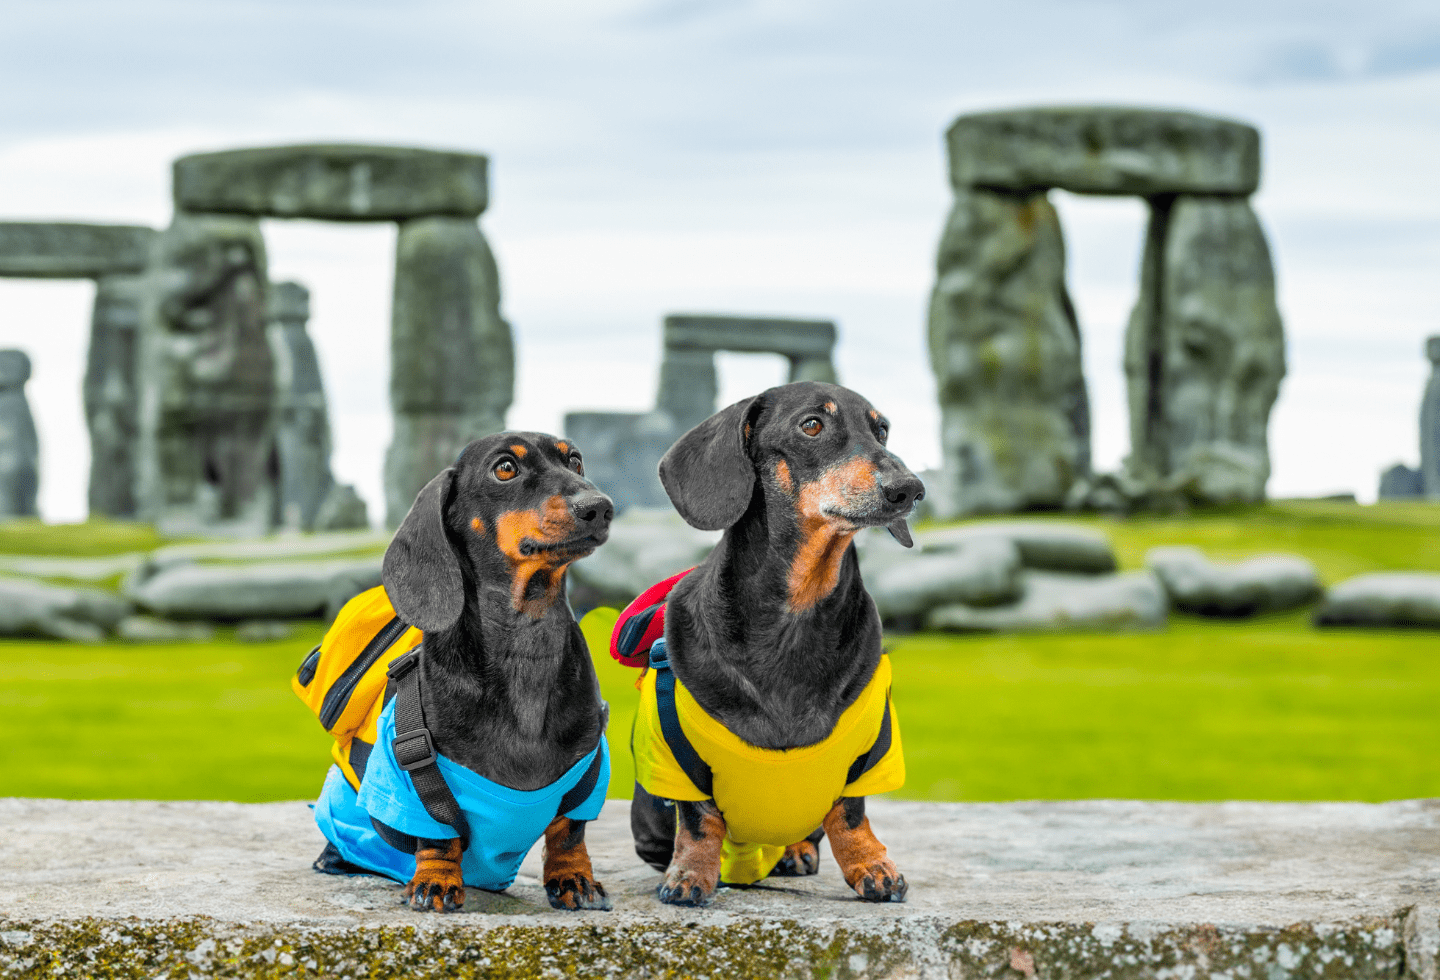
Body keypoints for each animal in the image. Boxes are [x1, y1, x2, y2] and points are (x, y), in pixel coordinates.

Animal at [318, 431, 616, 915]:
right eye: (505, 468)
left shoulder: (589, 773)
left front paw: (574, 878)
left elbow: (568, 832)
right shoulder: (405, 781)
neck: (525, 644)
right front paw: (436, 881)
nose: (600, 506)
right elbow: (439, 838)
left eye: (575, 460)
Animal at [627, 379, 921, 903]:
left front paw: (872, 866)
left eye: (881, 430)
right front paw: (690, 874)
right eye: (812, 425)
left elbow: (850, 813)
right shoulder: (677, 758)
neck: (795, 612)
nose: (910, 489)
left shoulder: (869, 748)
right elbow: (699, 819)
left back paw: (794, 851)